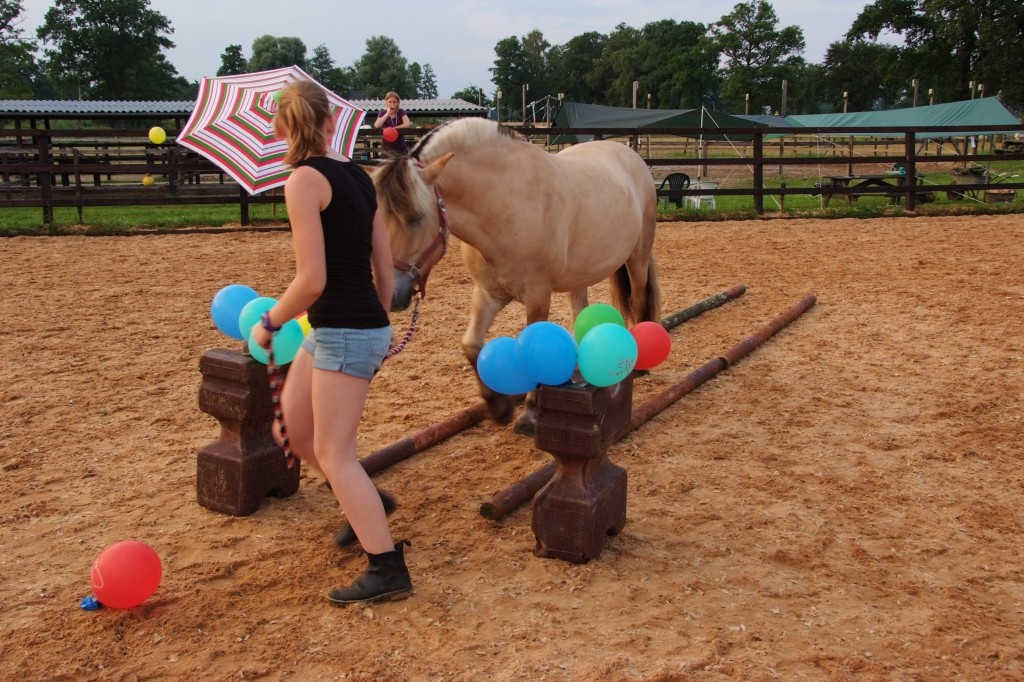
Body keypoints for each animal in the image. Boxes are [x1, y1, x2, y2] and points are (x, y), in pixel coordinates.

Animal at [369, 117, 662, 433]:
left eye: (416, 218)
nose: (392, 295)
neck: (504, 204)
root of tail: (630, 155)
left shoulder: (537, 297)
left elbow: (531, 351)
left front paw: (530, 415)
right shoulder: (488, 293)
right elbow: (471, 345)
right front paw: (498, 407)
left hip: (638, 256)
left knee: (639, 300)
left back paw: (641, 365)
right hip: (580, 276)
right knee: (579, 310)